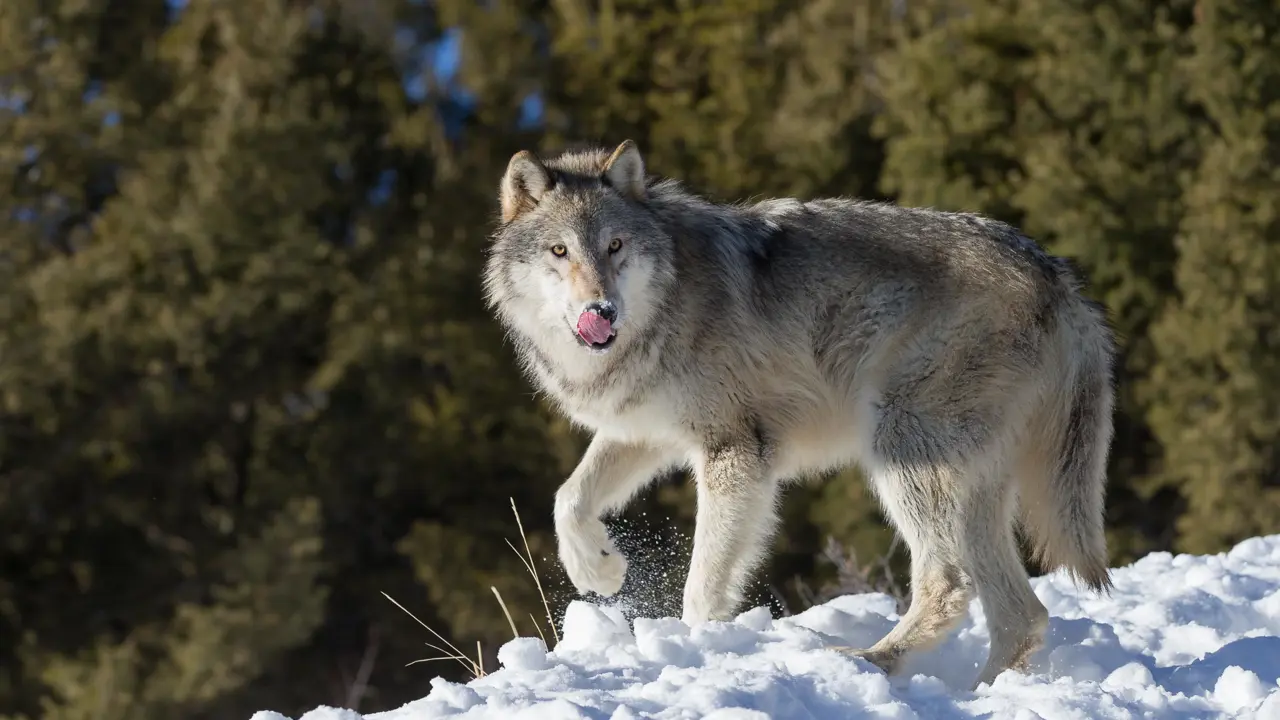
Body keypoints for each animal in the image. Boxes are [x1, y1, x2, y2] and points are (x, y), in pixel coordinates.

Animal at [484, 140, 1116, 688]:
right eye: (560, 251)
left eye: (615, 246)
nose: (602, 311)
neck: (666, 305)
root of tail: (1057, 276)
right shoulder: (647, 433)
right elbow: (569, 497)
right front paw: (600, 569)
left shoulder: (735, 449)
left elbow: (703, 583)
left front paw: (700, 648)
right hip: (971, 491)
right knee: (1022, 615)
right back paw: (977, 692)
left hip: (900, 454)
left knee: (950, 585)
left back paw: (867, 660)